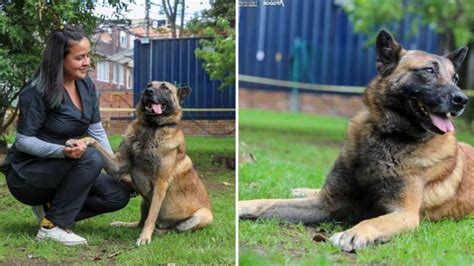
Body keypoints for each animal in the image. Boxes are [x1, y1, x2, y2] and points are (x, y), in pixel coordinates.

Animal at [68, 80, 213, 245]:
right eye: (149, 85)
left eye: (164, 87)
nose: (148, 92)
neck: (151, 128)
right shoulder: (118, 166)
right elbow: (94, 141)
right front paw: (79, 141)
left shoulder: (160, 185)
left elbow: (152, 217)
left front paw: (145, 237)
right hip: (144, 201)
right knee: (140, 223)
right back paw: (123, 224)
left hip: (201, 215)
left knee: (173, 228)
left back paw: (158, 231)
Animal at [241, 30, 474, 251]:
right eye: (429, 71)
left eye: (455, 79)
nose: (462, 100)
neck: (388, 136)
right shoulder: (326, 203)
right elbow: (266, 204)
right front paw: (243, 204)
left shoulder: (405, 214)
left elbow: (374, 221)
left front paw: (353, 233)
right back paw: (301, 190)